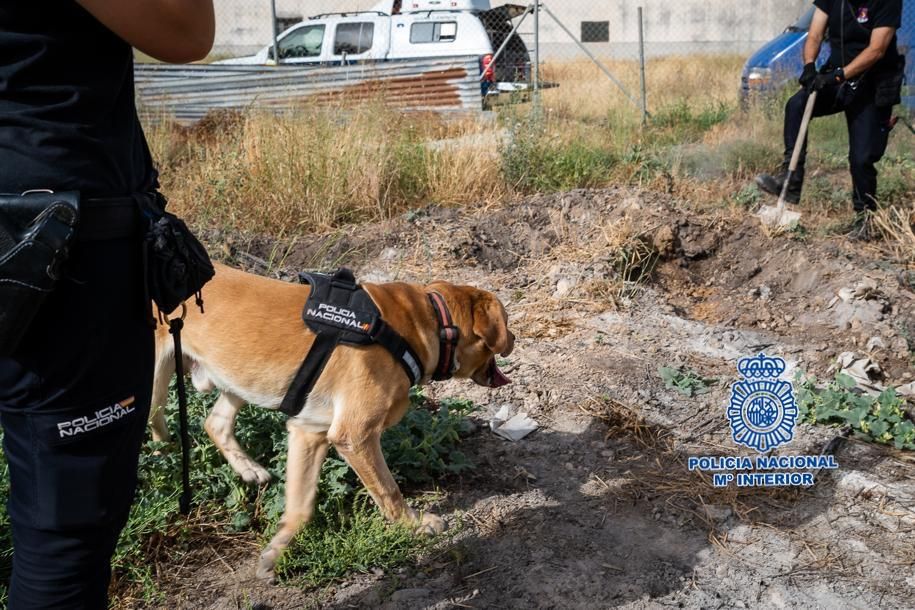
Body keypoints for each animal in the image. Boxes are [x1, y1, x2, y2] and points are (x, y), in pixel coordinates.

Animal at [147, 262, 512, 580]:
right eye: (507, 321)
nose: (514, 339)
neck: (429, 320)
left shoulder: (308, 432)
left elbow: (301, 504)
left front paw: (278, 550)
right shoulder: (355, 435)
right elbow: (388, 490)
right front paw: (414, 523)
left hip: (244, 379)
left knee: (216, 422)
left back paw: (247, 468)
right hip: (155, 381)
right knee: (156, 424)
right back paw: (166, 460)